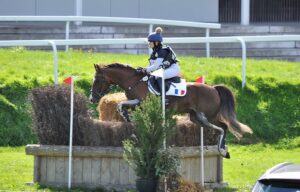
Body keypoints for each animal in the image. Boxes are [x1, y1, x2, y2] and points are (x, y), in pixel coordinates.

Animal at [89, 63, 253, 158]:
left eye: (97, 79)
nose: (92, 99)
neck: (134, 82)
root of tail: (213, 88)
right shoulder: (137, 104)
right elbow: (121, 106)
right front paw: (129, 123)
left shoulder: (141, 102)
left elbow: (122, 105)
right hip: (196, 117)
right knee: (220, 128)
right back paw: (223, 149)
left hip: (207, 116)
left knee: (224, 127)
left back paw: (223, 151)